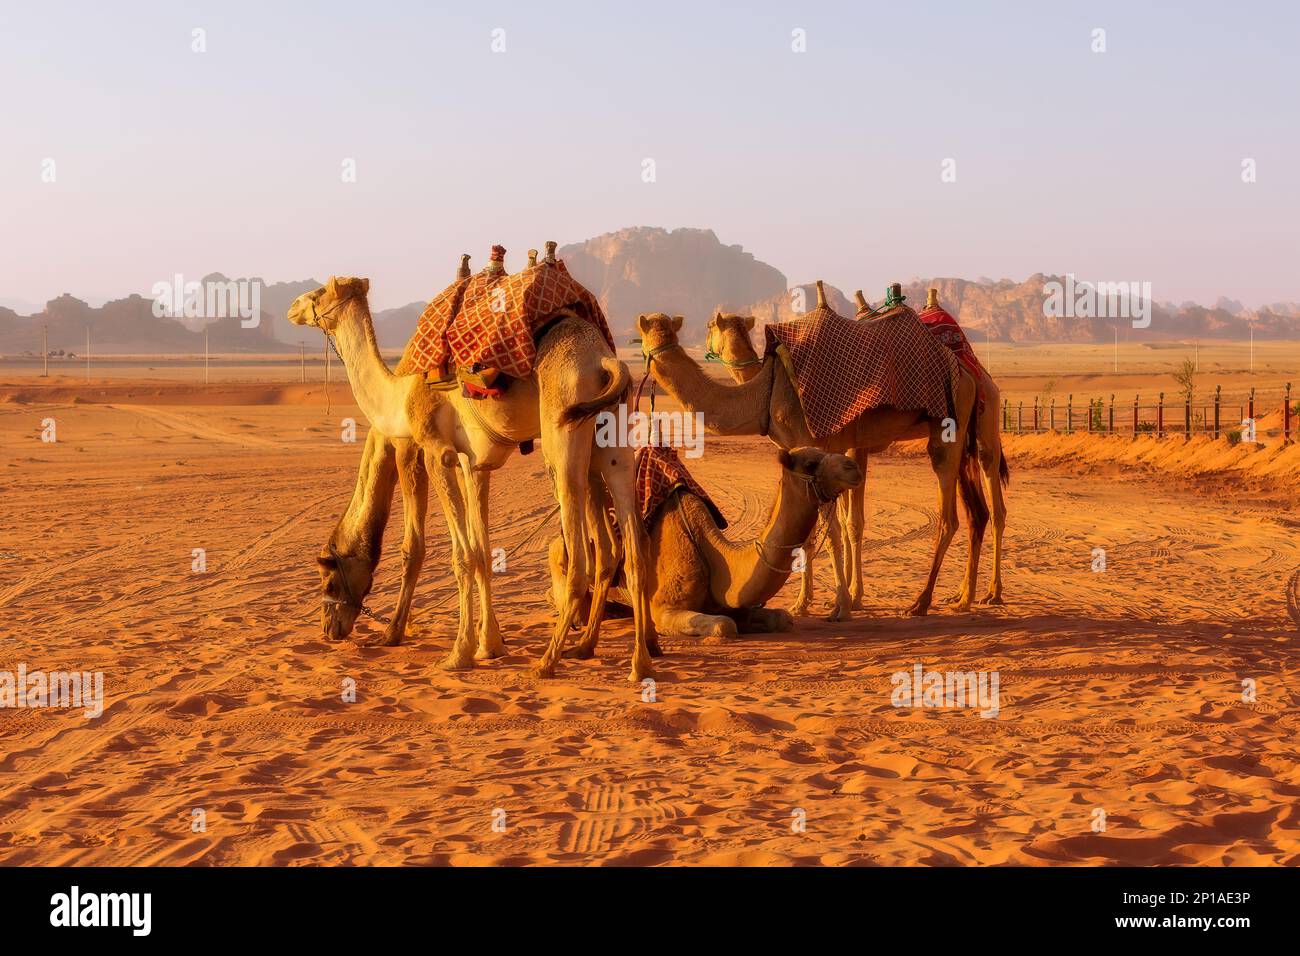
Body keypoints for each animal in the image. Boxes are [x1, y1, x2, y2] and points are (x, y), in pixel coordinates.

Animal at [551, 450, 863, 650]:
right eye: (810, 463)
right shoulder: (663, 609)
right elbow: (725, 626)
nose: (854, 467)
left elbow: (782, 618)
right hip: (560, 557)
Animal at [637, 295, 982, 616]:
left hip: (948, 424)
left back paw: (923, 602)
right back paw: (964, 597)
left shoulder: (820, 447)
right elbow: (815, 532)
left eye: (710, 326)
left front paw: (840, 604)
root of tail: (964, 371)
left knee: (949, 515)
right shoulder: (806, 453)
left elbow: (831, 532)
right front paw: (804, 602)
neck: (766, 391)